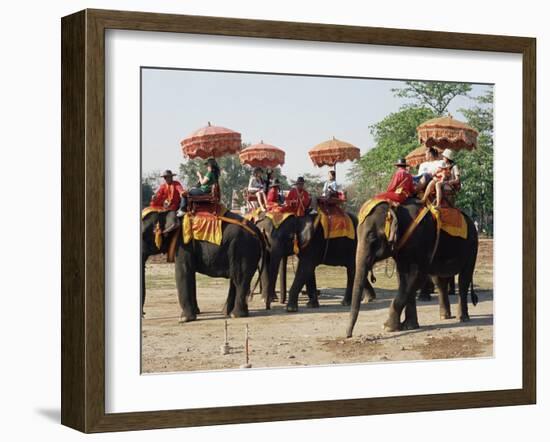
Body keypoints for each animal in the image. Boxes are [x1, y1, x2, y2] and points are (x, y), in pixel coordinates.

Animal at [348, 199, 480, 336]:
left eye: (372, 237)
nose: (349, 335)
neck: (397, 209)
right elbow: (403, 278)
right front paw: (409, 326)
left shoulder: (422, 242)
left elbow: (416, 277)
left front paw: (388, 327)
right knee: (439, 281)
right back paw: (444, 316)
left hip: (472, 247)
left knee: (464, 279)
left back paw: (463, 318)